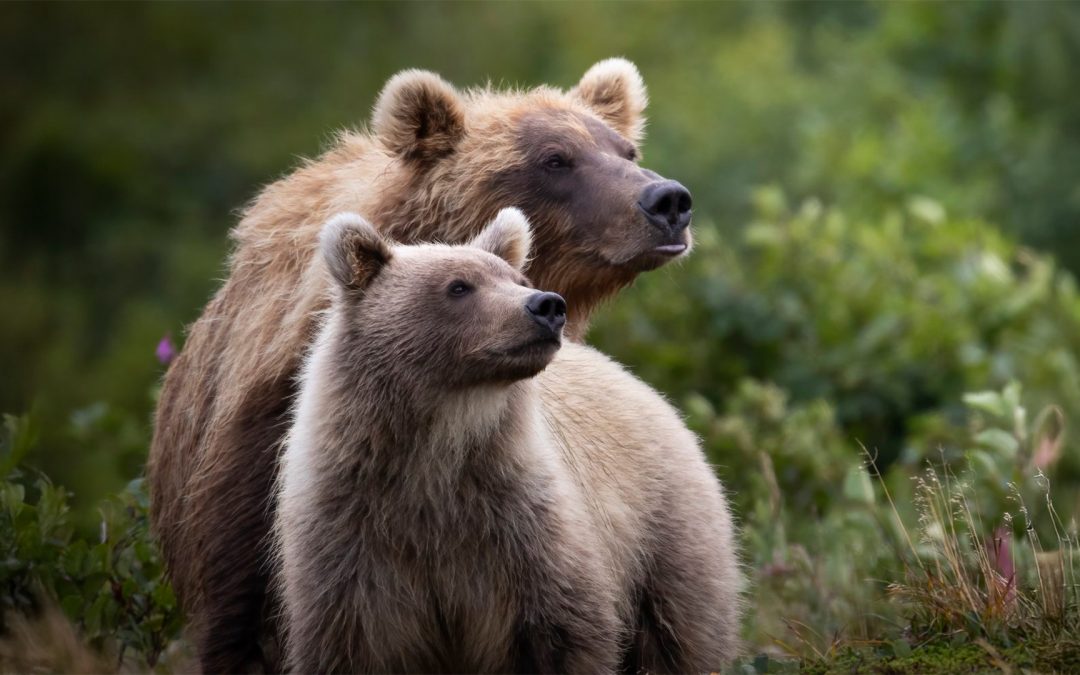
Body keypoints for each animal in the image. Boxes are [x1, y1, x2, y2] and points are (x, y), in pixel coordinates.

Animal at [275, 208, 620, 673]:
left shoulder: (521, 527)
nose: (547, 305)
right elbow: (348, 640)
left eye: (519, 279)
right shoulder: (347, 542)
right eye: (459, 285)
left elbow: (568, 629)